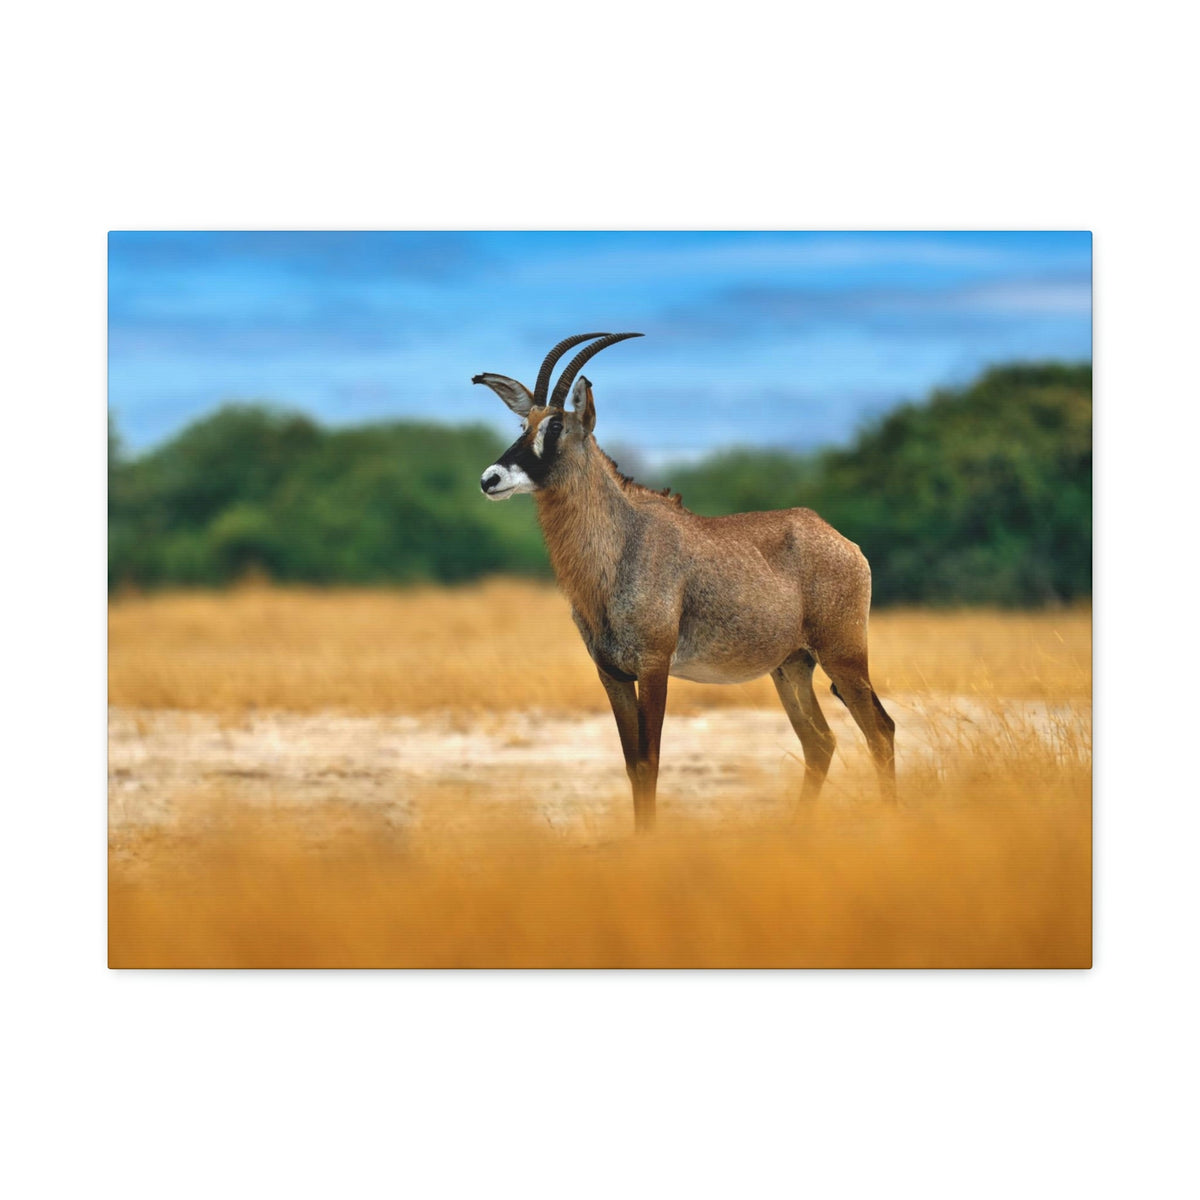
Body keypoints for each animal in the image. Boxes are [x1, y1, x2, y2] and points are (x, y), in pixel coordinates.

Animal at [472, 333, 897, 830]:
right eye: (525, 423)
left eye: (555, 427)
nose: (491, 478)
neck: (622, 543)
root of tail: (842, 542)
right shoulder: (611, 674)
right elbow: (631, 765)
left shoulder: (655, 667)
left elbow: (649, 761)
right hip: (791, 666)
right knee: (820, 741)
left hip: (842, 655)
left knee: (879, 730)